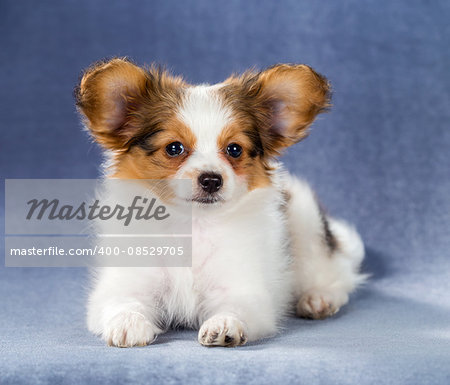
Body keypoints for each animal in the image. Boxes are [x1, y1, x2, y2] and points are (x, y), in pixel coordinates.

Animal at [75, 57, 364, 348]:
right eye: (174, 148)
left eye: (234, 149)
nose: (212, 179)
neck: (191, 225)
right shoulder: (126, 283)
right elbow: (122, 302)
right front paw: (128, 322)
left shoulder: (243, 289)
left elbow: (235, 308)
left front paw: (224, 324)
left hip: (307, 227)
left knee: (337, 273)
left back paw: (319, 298)